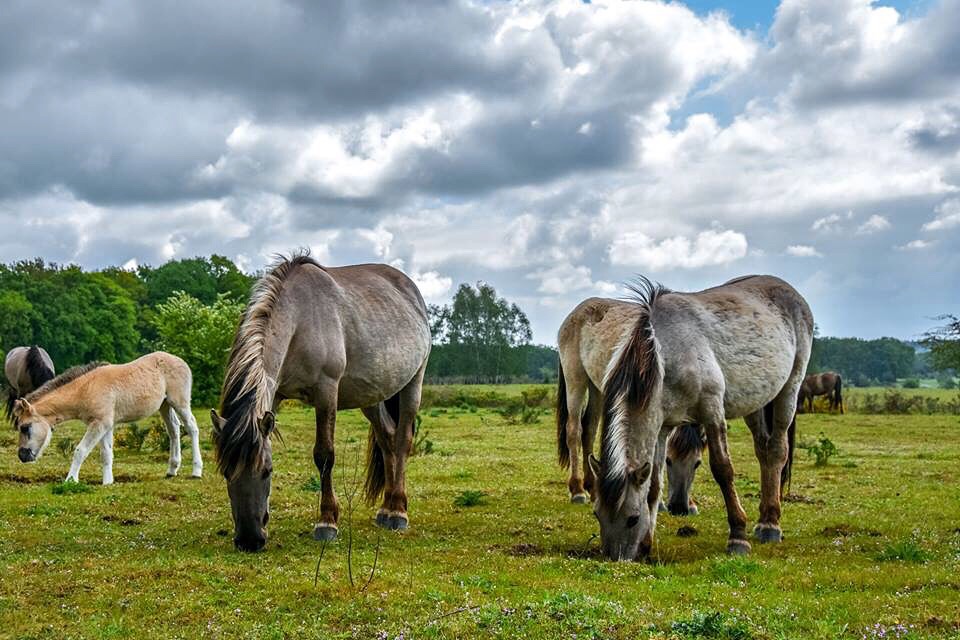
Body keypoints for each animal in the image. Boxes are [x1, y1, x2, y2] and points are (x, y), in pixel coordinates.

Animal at [11, 352, 202, 484]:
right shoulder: (106, 425)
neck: (85, 389)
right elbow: (106, 453)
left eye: (25, 427)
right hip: (165, 405)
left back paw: (196, 471)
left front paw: (70, 480)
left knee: (192, 427)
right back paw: (172, 470)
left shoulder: (99, 423)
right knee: (174, 430)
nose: (22, 456)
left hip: (180, 403)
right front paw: (108, 482)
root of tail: (182, 362)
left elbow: (80, 451)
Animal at [210, 253, 431, 552]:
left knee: (402, 442)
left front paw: (327, 521)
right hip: (372, 395)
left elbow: (324, 455)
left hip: (412, 385)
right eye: (226, 472)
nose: (250, 539)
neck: (300, 319)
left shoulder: (327, 390)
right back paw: (385, 509)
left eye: (267, 471)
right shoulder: (274, 394)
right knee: (387, 440)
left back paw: (398, 511)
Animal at [556, 309, 705, 513]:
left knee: (589, 430)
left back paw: (593, 488)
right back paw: (578, 490)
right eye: (669, 460)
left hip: (597, 388)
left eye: (697, 463)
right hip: (575, 380)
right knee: (574, 430)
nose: (679, 507)